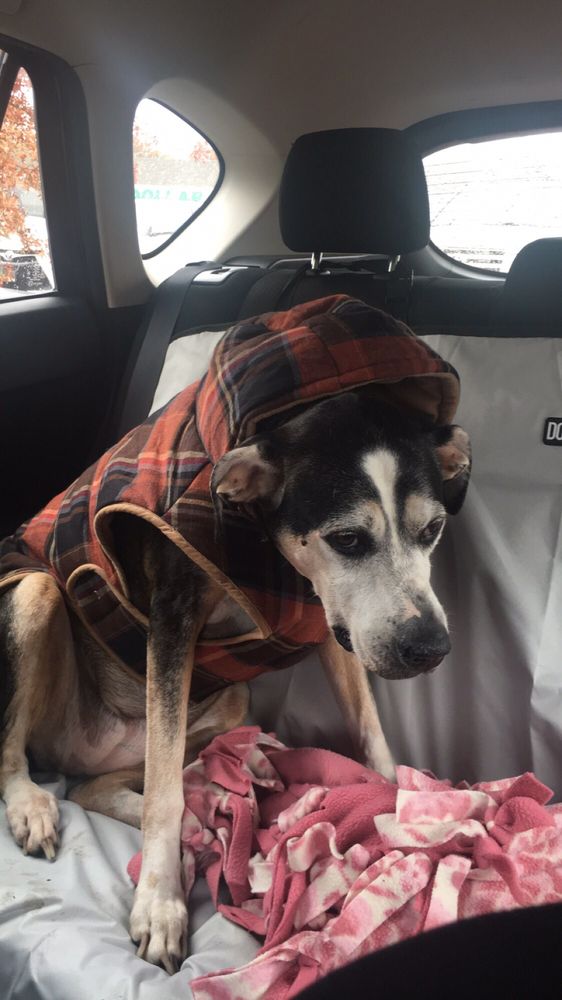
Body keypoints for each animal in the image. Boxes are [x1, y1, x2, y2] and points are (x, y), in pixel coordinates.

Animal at [0, 297, 470, 972]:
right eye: (347, 538)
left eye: (433, 529)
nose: (431, 649)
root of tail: (78, 753)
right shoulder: (172, 613)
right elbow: (166, 793)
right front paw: (160, 904)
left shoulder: (333, 623)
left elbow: (369, 724)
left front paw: (395, 798)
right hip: (39, 596)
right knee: (26, 755)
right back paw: (39, 806)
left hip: (227, 704)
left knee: (99, 786)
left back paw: (194, 810)